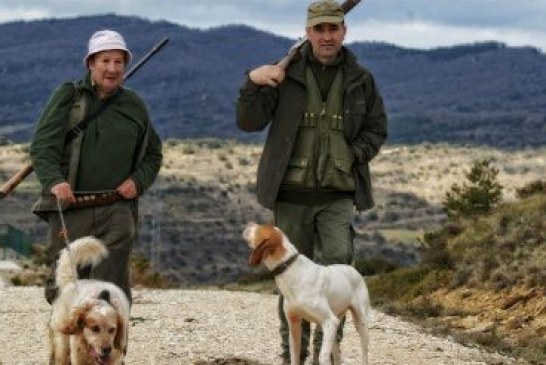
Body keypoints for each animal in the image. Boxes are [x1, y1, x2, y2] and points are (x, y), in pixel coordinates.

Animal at [48, 236, 130, 364]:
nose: (106, 349)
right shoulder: (78, 356)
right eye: (94, 328)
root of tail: (72, 282)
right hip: (62, 342)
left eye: (112, 329)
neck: (102, 298)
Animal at [242, 222, 370, 364]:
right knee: (337, 353)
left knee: (363, 351)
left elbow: (323, 356)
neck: (290, 268)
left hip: (358, 323)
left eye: (258, 229)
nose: (248, 224)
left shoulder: (330, 321)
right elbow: (294, 355)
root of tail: (352, 269)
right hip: (332, 326)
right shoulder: (294, 324)